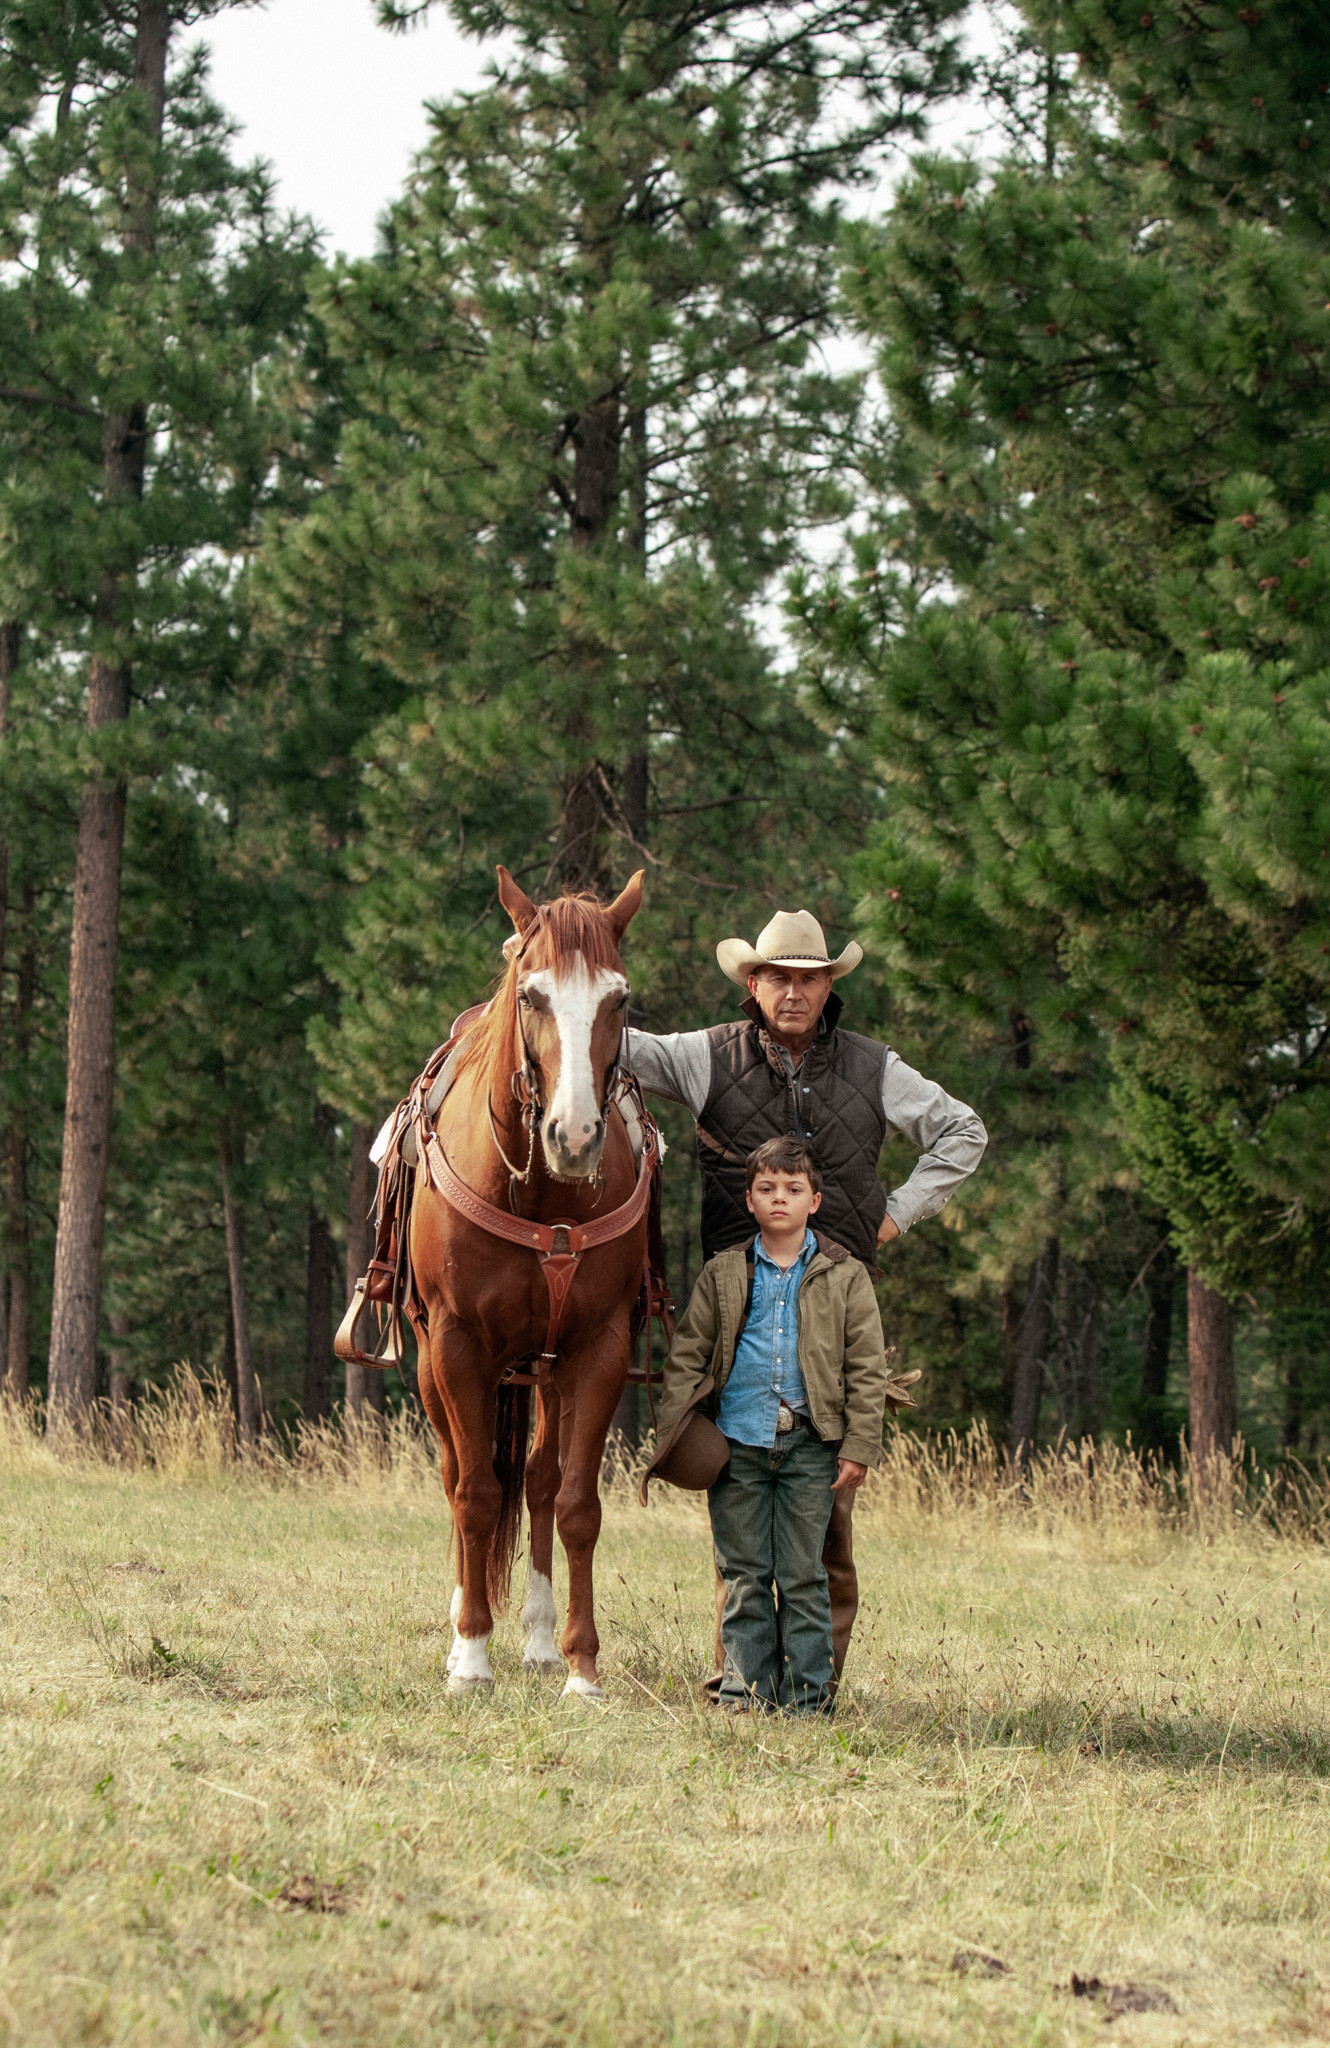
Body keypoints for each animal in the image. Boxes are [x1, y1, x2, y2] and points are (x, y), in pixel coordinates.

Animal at [409, 860, 647, 1695]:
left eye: (619, 999)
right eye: (531, 995)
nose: (573, 1137)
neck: (544, 1195)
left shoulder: (597, 1350)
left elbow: (573, 1502)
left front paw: (582, 1665)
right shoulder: (457, 1345)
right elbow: (478, 1492)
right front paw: (472, 1657)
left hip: (543, 1375)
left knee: (540, 1483)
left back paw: (542, 1641)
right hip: (431, 1361)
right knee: (458, 1476)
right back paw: (462, 1629)